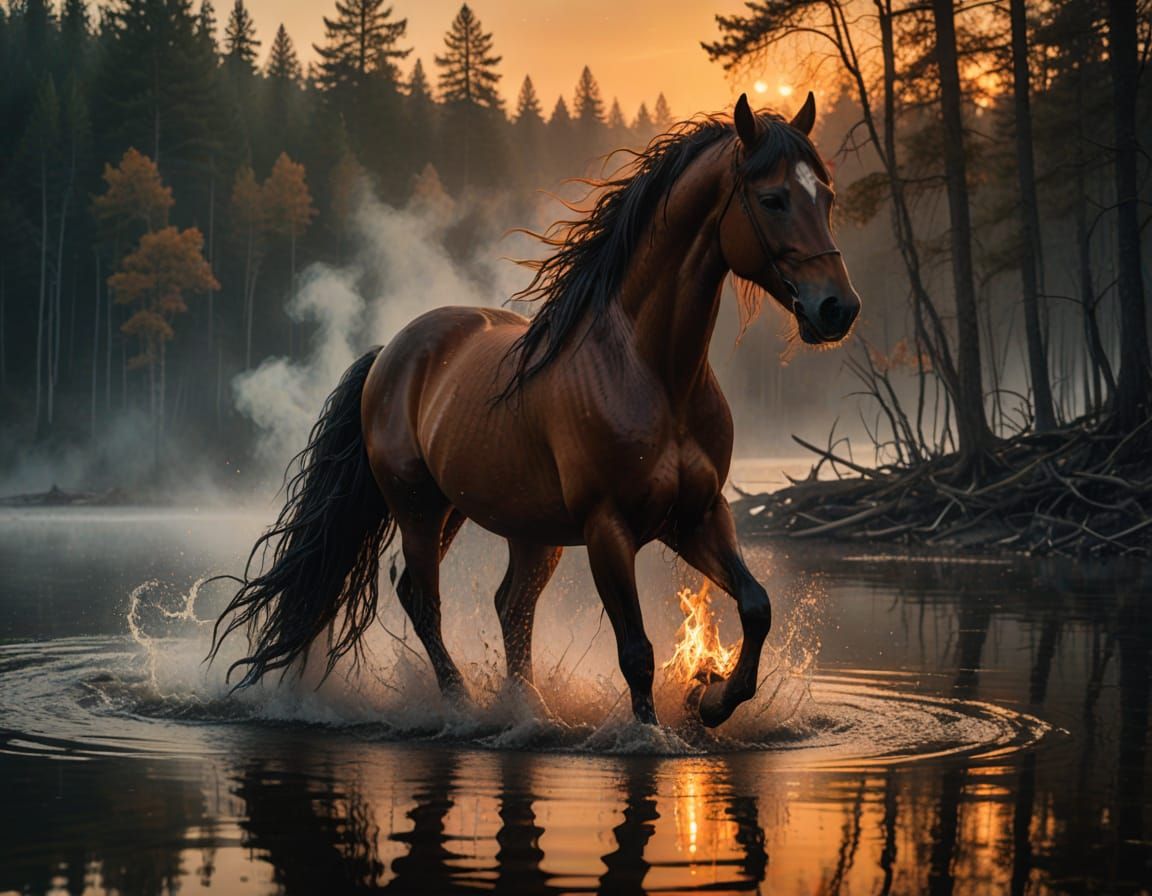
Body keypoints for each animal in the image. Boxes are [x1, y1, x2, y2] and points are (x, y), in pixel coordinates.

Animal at [211, 92, 860, 728]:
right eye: (773, 198)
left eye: (826, 196)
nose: (838, 308)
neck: (653, 375)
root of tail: (389, 353)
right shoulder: (608, 530)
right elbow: (637, 654)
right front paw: (653, 731)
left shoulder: (697, 516)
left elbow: (756, 606)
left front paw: (713, 698)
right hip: (420, 508)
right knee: (424, 599)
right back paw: (462, 707)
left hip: (516, 527)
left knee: (510, 606)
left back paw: (530, 712)